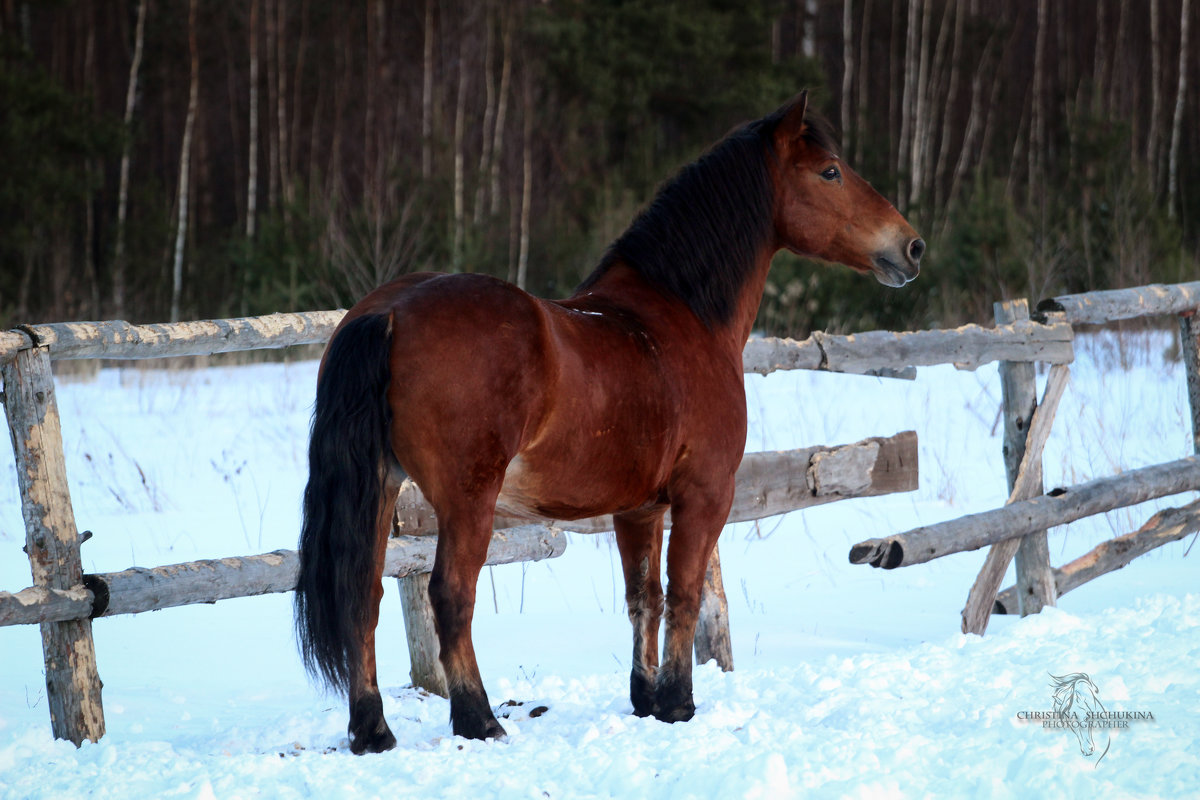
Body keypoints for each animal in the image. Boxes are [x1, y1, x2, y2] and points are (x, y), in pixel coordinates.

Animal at [295, 90, 921, 753]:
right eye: (830, 171)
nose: (912, 247)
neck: (681, 316)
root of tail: (390, 312)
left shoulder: (638, 508)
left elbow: (644, 596)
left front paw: (645, 699)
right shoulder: (705, 495)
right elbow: (685, 593)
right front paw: (678, 704)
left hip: (383, 486)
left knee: (362, 595)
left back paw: (373, 731)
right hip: (469, 499)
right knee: (451, 595)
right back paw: (480, 720)